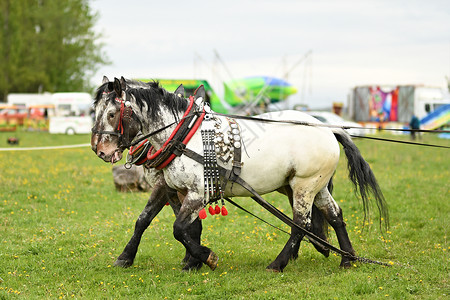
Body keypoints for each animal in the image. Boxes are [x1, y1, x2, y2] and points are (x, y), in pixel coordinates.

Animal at [92, 77, 386, 272]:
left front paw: (205, 257)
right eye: (94, 112)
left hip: (304, 185)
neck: (182, 135)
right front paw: (186, 261)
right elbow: (159, 222)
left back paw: (278, 263)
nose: (100, 150)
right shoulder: (175, 189)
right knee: (334, 215)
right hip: (316, 184)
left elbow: (179, 228)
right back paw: (346, 258)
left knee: (300, 223)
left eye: (112, 113)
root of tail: (327, 128)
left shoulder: (196, 192)